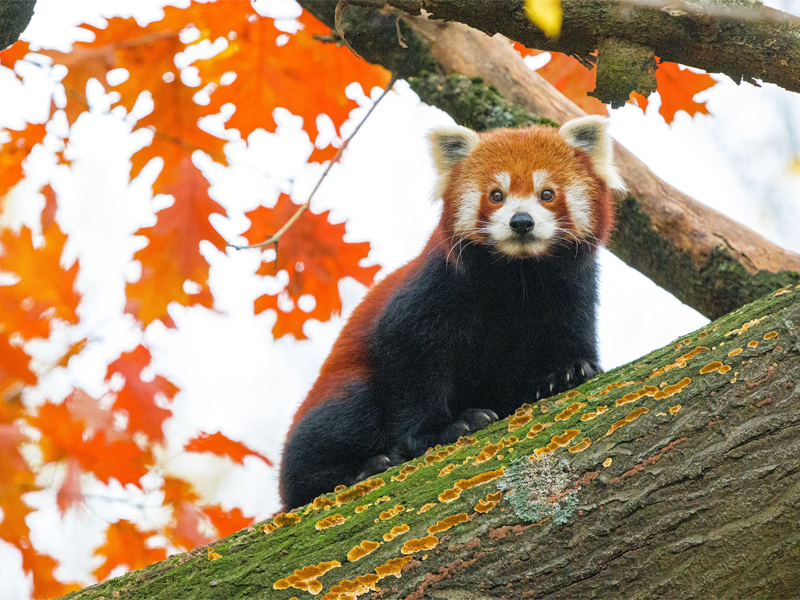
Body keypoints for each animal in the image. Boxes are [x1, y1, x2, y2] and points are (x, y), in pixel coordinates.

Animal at [278, 116, 620, 506]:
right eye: (496, 195)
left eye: (546, 194)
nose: (521, 221)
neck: (518, 277)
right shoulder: (436, 286)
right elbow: (409, 355)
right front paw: (443, 429)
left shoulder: (572, 287)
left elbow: (572, 330)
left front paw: (569, 371)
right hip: (336, 396)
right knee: (340, 418)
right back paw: (358, 470)